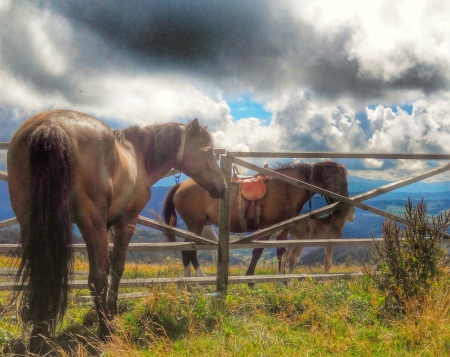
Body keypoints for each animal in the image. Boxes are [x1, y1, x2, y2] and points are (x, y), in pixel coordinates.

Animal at [7, 109, 225, 354]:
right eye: (208, 150)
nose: (222, 187)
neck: (138, 156)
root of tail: (51, 125)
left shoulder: (107, 225)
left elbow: (109, 265)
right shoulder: (125, 222)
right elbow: (116, 269)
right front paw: (111, 315)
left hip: (31, 221)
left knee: (41, 275)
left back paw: (39, 338)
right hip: (90, 222)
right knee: (96, 279)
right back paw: (105, 332)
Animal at [163, 161, 350, 276]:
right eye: (344, 182)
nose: (346, 204)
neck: (286, 187)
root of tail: (180, 185)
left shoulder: (283, 228)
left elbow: (281, 253)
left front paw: (281, 279)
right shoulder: (266, 227)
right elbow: (258, 251)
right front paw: (250, 277)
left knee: (189, 251)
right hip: (195, 224)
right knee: (189, 250)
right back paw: (196, 278)